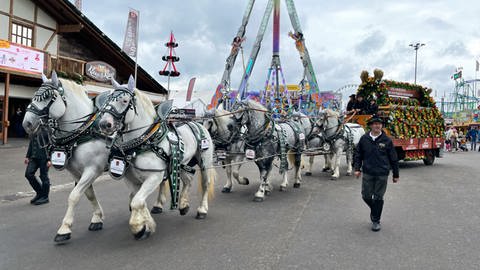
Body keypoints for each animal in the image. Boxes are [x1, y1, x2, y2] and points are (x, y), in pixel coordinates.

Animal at [22, 71, 109, 243]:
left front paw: (64, 229)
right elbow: (89, 195)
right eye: (34, 95)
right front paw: (97, 218)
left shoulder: (92, 170)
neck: (84, 130)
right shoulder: (77, 173)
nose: (26, 123)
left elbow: (74, 196)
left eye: (48, 97)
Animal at [98, 77, 215, 239]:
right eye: (107, 99)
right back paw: (183, 205)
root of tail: (199, 123)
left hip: (205, 162)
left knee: (205, 183)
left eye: (124, 100)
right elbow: (137, 200)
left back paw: (202, 210)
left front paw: (138, 227)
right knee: (188, 181)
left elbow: (136, 202)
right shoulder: (132, 180)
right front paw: (146, 225)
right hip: (182, 164)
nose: (104, 124)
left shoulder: (154, 176)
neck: (142, 144)